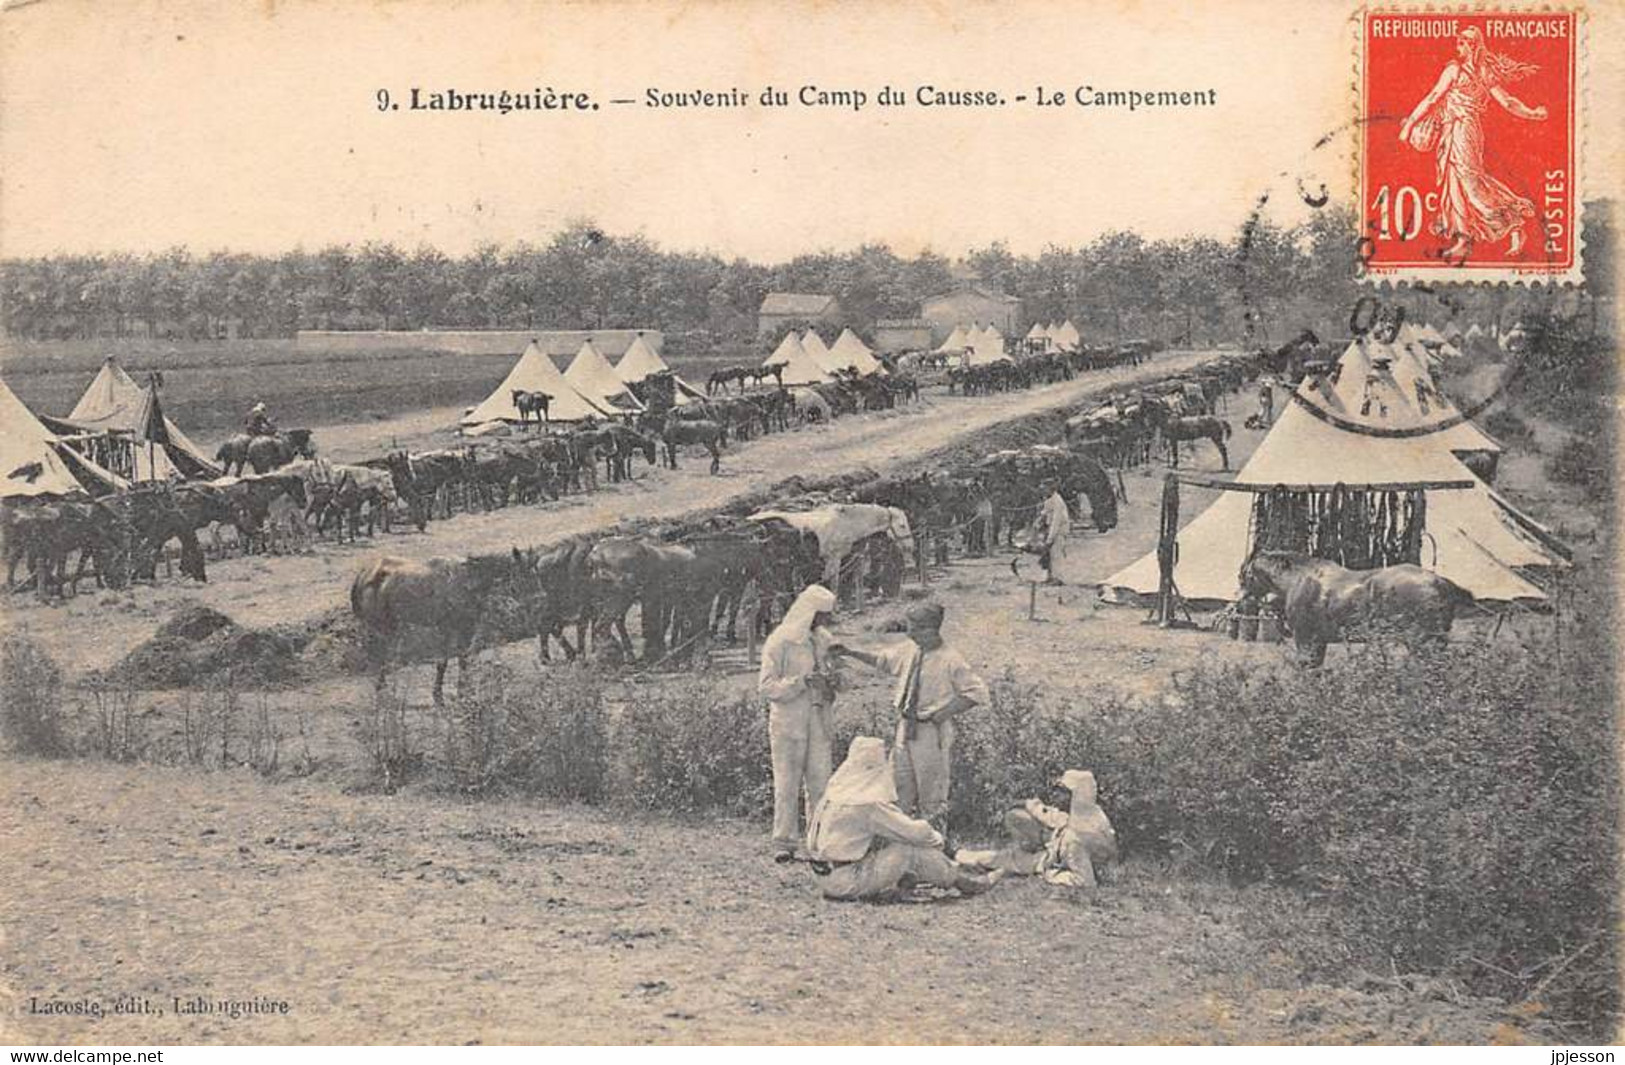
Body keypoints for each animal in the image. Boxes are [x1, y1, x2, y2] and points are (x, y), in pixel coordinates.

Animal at [1235, 549, 1482, 666]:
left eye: (1245, 573)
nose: (1239, 596)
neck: (1298, 579)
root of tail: (1438, 581)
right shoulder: (1319, 641)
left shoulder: (1305, 638)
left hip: (1423, 642)